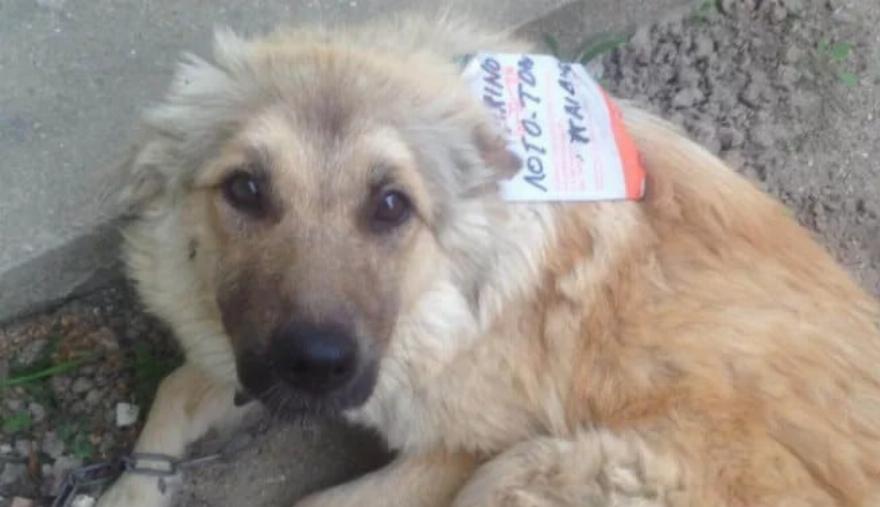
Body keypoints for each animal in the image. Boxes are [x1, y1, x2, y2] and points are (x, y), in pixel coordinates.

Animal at [96, 14, 880, 507]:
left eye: (391, 204)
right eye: (246, 189)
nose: (314, 365)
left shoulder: (469, 450)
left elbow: (315, 503)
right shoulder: (251, 349)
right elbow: (175, 389)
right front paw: (131, 489)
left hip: (528, 471)